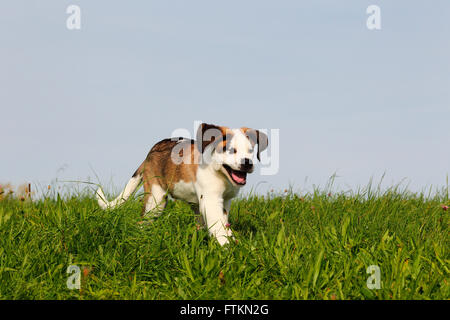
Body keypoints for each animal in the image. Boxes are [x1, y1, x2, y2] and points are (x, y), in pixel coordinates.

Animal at [96, 122, 268, 245]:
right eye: (231, 150)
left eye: (251, 151)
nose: (247, 163)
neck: (220, 172)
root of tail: (150, 152)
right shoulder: (211, 200)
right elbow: (218, 227)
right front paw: (228, 249)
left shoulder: (225, 201)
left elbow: (223, 224)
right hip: (155, 200)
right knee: (142, 222)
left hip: (195, 206)